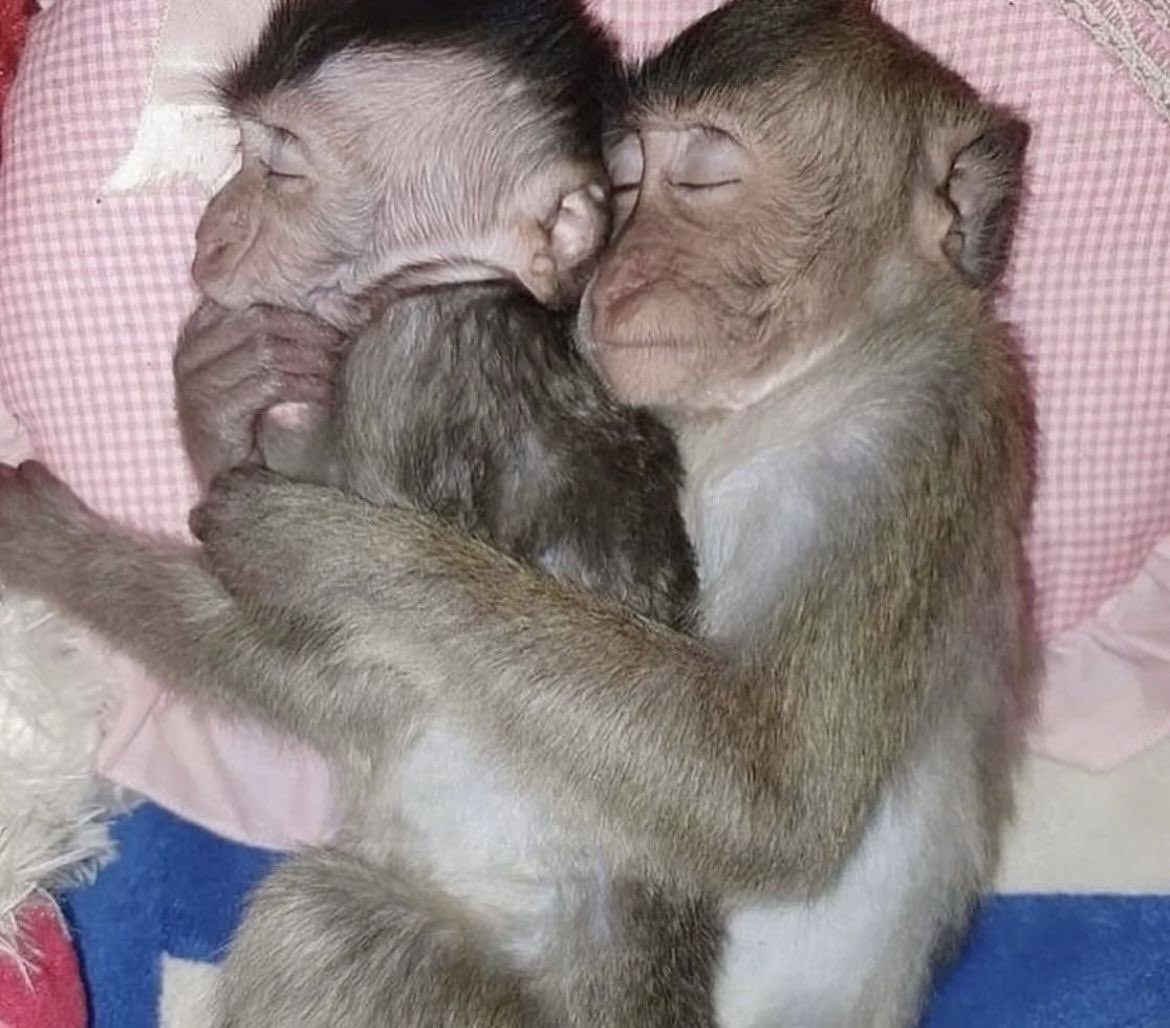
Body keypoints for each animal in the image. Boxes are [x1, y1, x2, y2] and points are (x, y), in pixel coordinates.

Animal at [0, 0, 1038, 1025]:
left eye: (279, 164)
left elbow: (337, 669)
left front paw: (90, 540)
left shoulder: (916, 420)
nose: (213, 226)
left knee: (317, 921)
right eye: (632, 182)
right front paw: (222, 388)